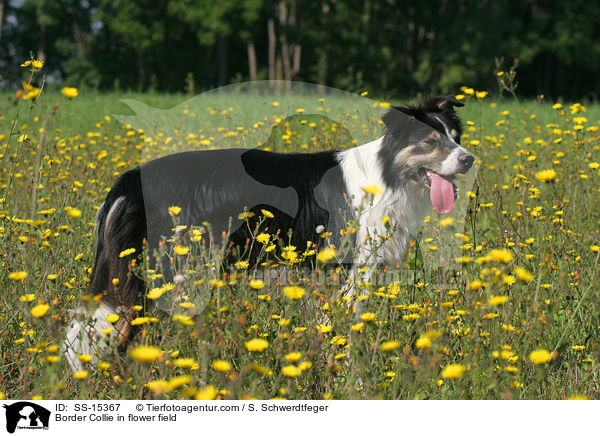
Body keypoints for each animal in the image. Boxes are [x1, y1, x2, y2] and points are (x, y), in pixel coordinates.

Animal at [63, 93, 472, 370]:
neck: (388, 175)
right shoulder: (349, 273)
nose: (469, 159)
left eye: (455, 136)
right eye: (430, 142)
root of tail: (130, 178)